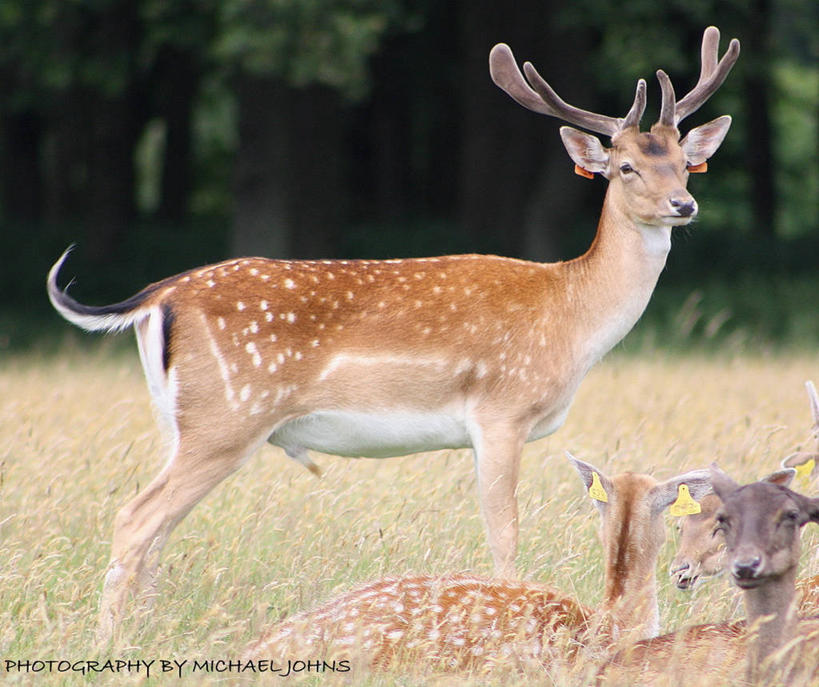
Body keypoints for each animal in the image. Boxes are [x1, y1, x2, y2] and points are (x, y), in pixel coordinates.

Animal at [48, 24, 740, 644]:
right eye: (624, 167)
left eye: (688, 164)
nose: (683, 205)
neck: (571, 317)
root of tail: (156, 298)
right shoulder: (502, 411)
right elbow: (505, 534)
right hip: (227, 418)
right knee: (135, 519)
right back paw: (109, 643)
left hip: (181, 422)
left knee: (158, 531)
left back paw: (144, 632)